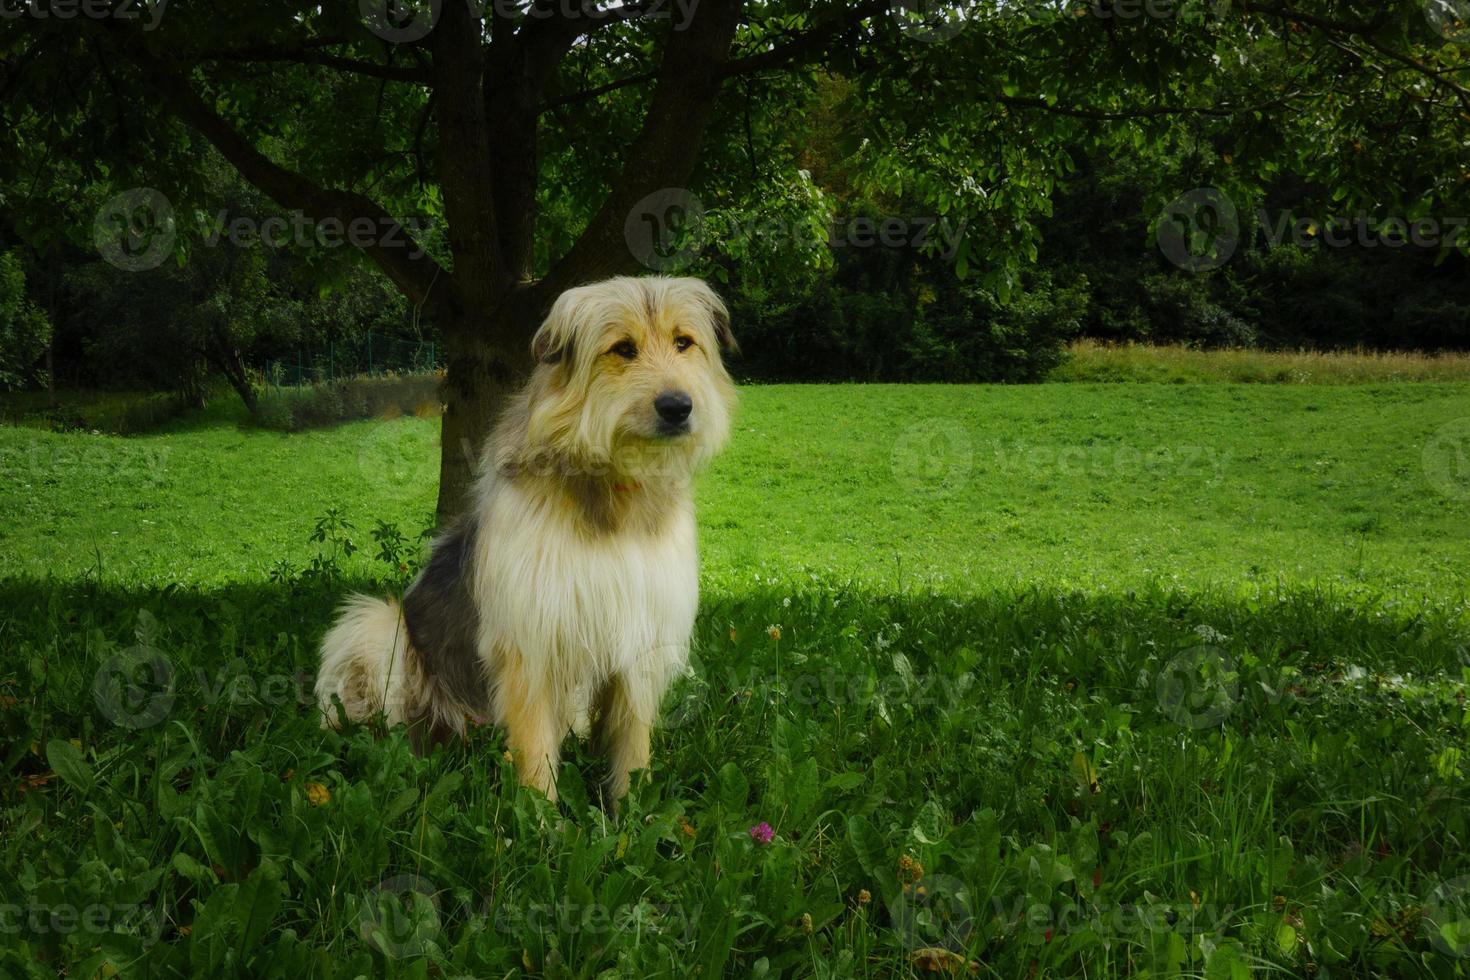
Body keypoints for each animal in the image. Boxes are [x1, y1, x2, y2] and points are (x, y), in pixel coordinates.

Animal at [317, 276, 740, 805]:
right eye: (624, 349)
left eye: (684, 342)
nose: (678, 407)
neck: (614, 483)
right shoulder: (531, 640)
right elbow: (536, 750)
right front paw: (542, 819)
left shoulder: (642, 630)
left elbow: (632, 744)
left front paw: (631, 811)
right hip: (375, 628)